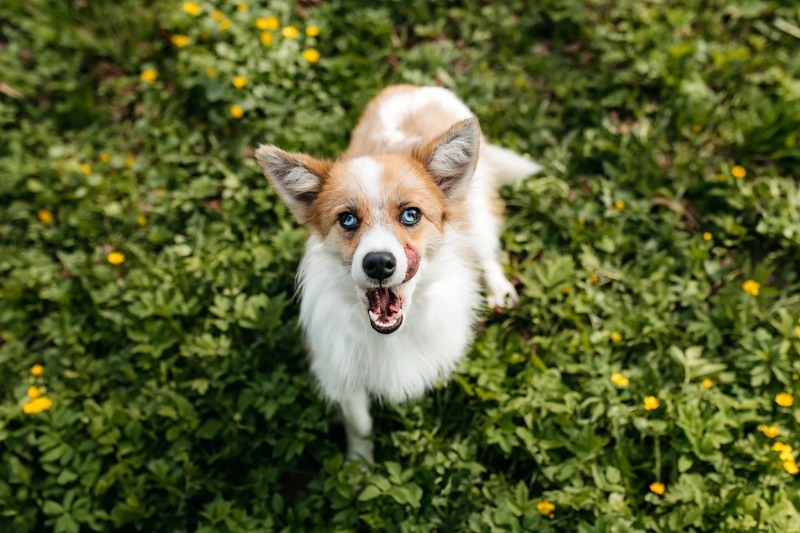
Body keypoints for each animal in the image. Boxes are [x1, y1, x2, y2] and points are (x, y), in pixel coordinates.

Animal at [256, 85, 544, 460]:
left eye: (411, 215)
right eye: (347, 219)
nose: (379, 263)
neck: (390, 336)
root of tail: (415, 88)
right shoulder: (341, 369)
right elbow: (360, 425)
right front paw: (359, 466)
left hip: (476, 213)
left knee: (486, 252)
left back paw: (500, 290)